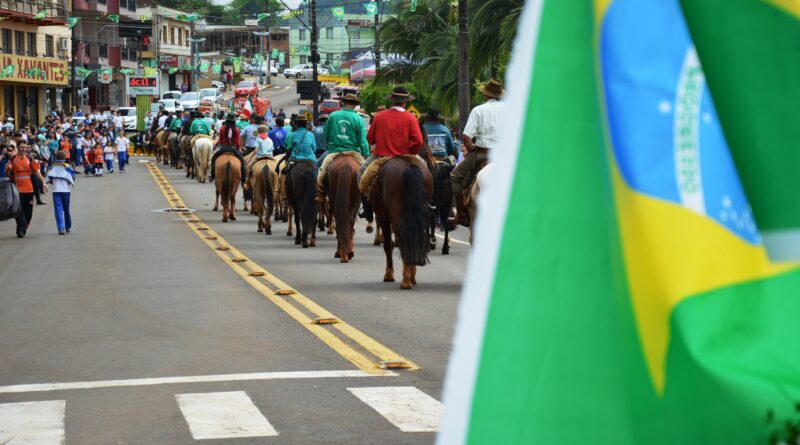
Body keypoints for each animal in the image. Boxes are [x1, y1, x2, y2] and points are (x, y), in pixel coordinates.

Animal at [368, 156, 432, 288]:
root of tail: (410, 165)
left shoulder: (383, 218)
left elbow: (388, 245)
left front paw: (389, 275)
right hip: (421, 213)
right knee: (415, 236)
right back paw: (411, 275)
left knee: (403, 237)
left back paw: (406, 280)